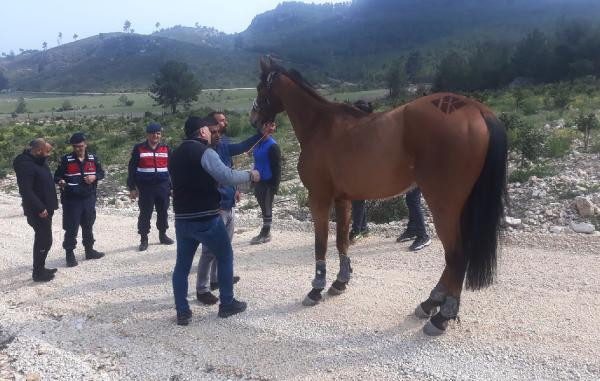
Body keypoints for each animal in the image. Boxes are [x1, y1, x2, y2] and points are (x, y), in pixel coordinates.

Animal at [251, 55, 508, 334]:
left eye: (260, 87)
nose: (254, 119)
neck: (321, 126)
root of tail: (476, 110)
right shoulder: (342, 199)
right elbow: (341, 241)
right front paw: (340, 281)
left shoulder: (318, 197)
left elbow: (321, 243)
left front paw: (316, 288)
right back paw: (431, 303)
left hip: (444, 206)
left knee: (456, 256)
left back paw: (442, 316)